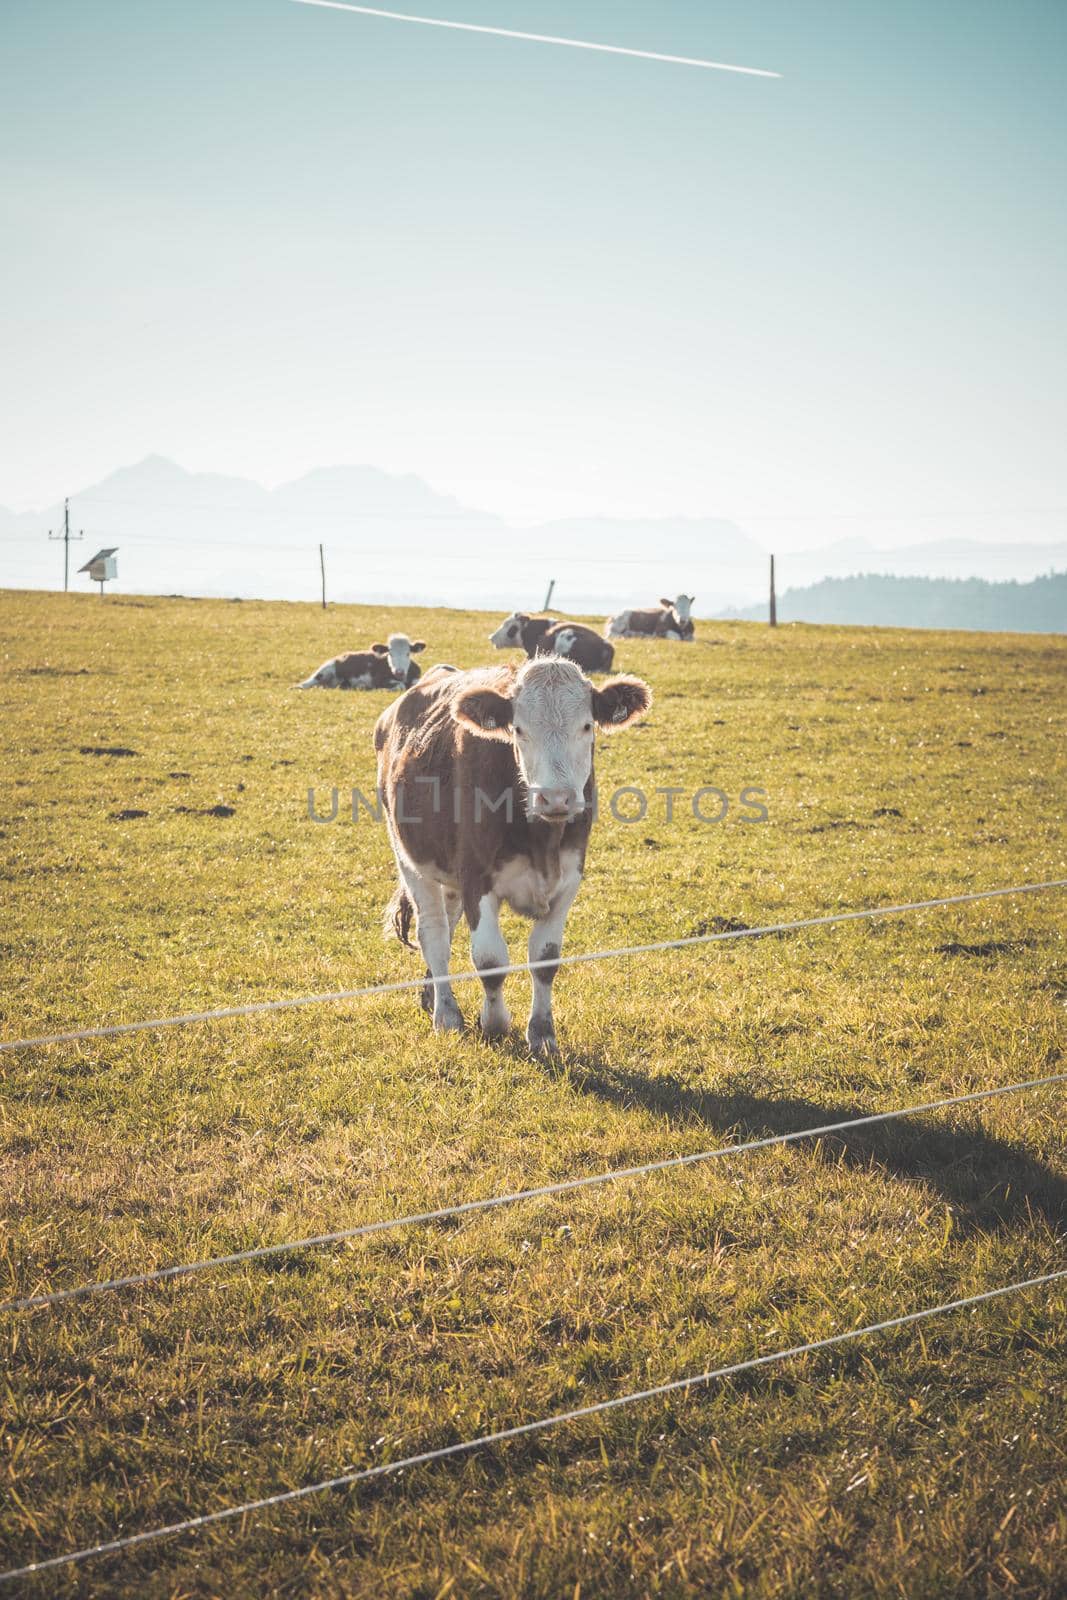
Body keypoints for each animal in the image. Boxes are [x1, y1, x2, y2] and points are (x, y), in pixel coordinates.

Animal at [295, 633, 425, 691]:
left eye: (408, 653)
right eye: (390, 653)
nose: (399, 672)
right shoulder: (378, 680)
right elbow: (400, 686)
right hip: (324, 671)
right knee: (305, 684)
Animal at [375, 656, 652, 1056]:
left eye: (587, 726)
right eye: (519, 730)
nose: (556, 798)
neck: (541, 837)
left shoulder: (569, 878)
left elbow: (545, 959)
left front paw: (542, 1033)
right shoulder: (476, 878)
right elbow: (490, 959)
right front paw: (494, 1023)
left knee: (447, 924)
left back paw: (431, 995)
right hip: (410, 859)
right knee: (434, 935)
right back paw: (446, 1014)